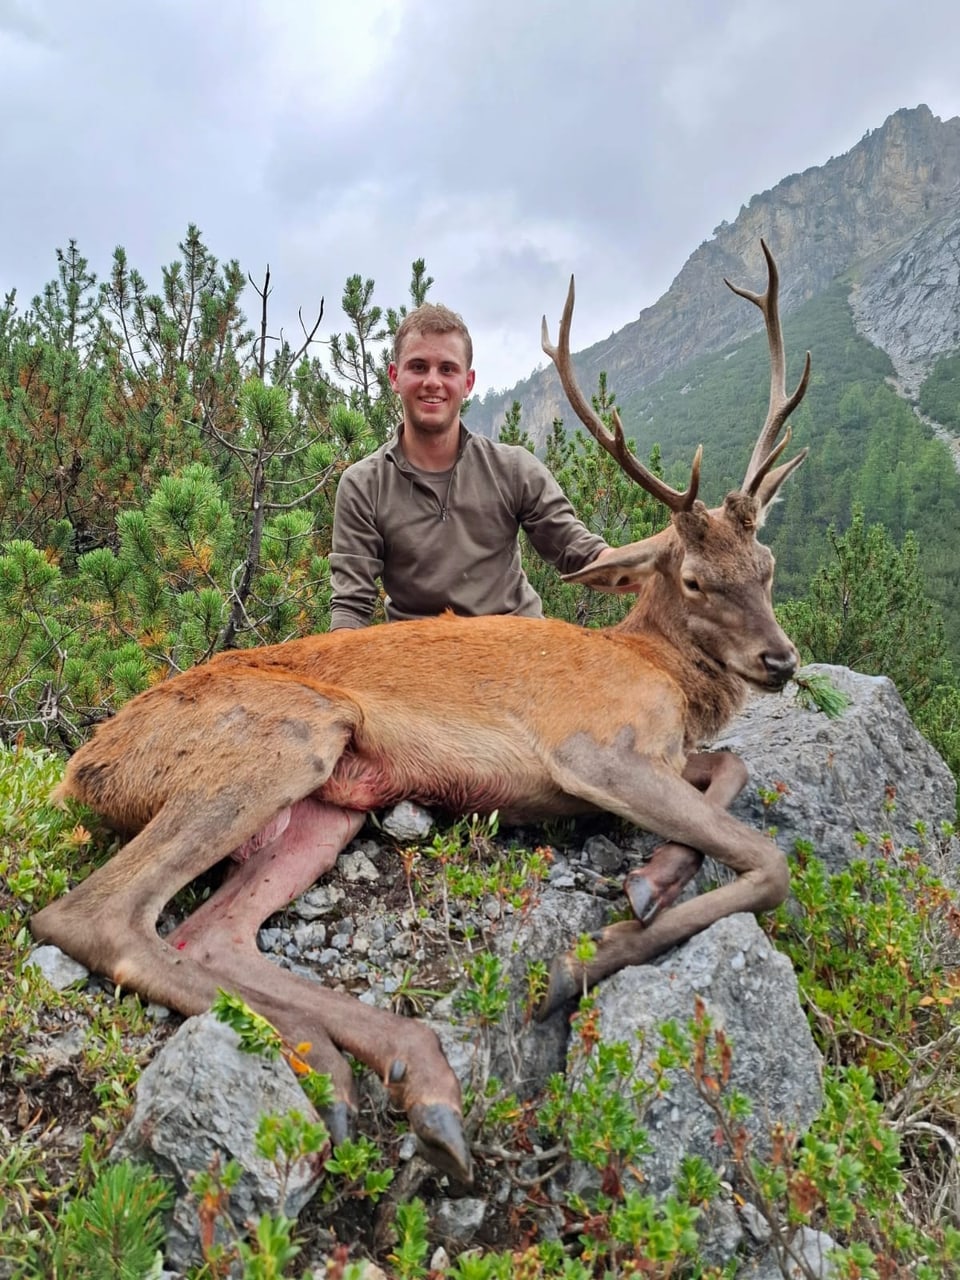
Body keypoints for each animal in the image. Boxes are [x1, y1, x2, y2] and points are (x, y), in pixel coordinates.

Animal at [30, 238, 814, 1177]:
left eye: (767, 565)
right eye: (695, 578)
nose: (781, 660)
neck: (655, 668)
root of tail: (79, 769)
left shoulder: (660, 752)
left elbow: (733, 765)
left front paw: (651, 879)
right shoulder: (590, 749)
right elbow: (766, 859)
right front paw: (584, 958)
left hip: (327, 802)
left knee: (211, 933)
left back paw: (397, 1076)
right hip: (284, 737)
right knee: (92, 914)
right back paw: (361, 1073)